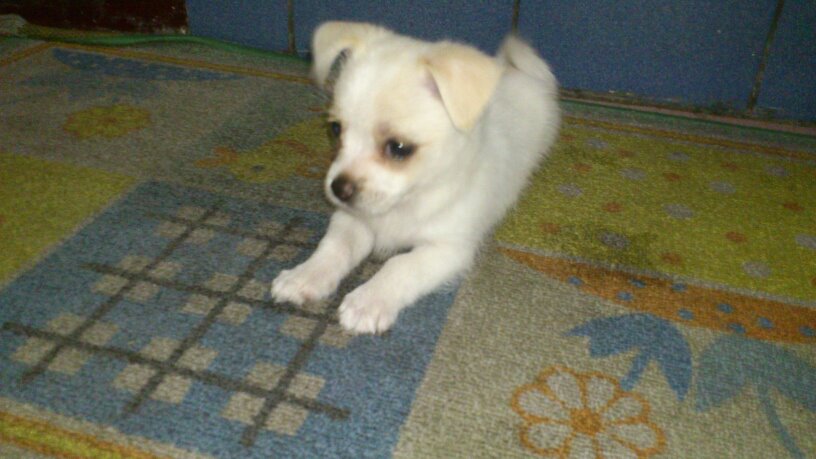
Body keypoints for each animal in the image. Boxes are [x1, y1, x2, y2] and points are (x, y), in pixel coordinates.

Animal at [271, 21, 560, 334]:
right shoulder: (351, 220)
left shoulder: (447, 250)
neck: (405, 205)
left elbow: (401, 265)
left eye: (398, 148)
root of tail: (518, 72)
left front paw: (368, 300)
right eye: (335, 130)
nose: (338, 189)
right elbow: (334, 247)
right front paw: (305, 275)